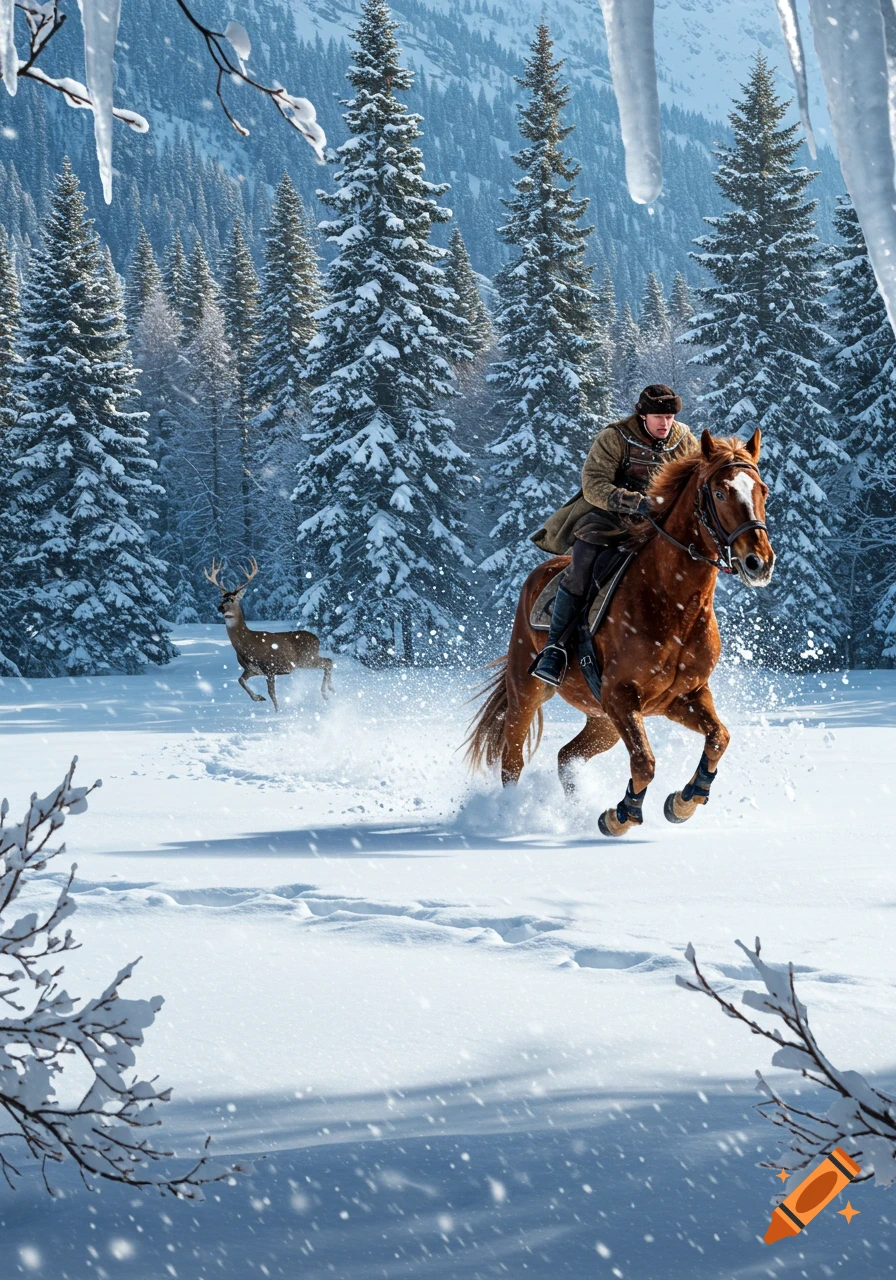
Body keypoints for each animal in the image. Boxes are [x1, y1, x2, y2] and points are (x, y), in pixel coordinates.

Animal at [204, 559, 334, 709]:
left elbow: (272, 694)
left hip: (307, 658)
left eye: (231, 599)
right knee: (328, 662)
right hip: (306, 660)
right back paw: (328, 693)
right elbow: (240, 680)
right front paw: (259, 698)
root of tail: (317, 639)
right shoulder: (252, 669)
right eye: (221, 598)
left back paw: (329, 690)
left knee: (328, 662)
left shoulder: (270, 667)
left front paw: (278, 711)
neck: (246, 643)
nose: (219, 607)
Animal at [465, 429, 775, 835]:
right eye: (721, 493)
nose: (759, 562)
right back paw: (510, 815)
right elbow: (645, 762)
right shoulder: (621, 696)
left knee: (567, 756)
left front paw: (685, 801)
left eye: (762, 490)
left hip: (601, 720)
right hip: (528, 691)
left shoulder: (682, 697)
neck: (675, 604)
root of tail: (539, 574)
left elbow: (719, 738)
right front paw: (621, 815)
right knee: (512, 760)